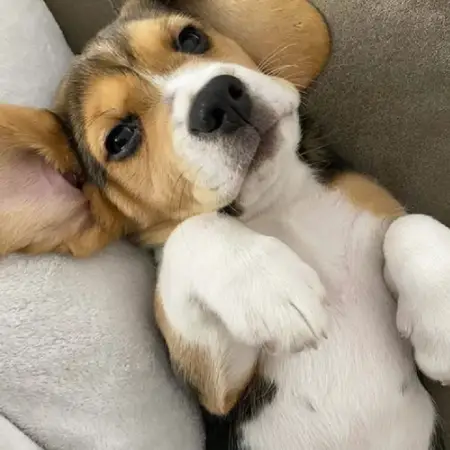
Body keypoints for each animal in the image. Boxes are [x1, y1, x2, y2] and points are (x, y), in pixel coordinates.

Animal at [0, 0, 450, 450]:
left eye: (190, 38)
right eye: (120, 139)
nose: (217, 97)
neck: (279, 203)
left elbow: (408, 226)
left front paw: (439, 323)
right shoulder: (221, 389)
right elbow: (191, 230)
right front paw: (270, 284)